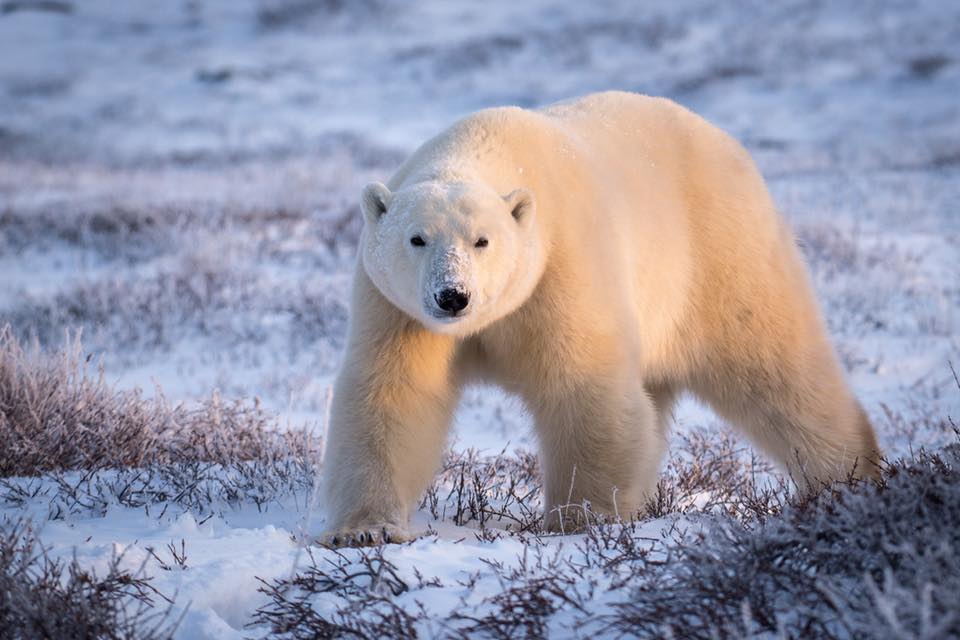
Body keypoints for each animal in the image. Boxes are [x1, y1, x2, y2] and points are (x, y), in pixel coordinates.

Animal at [319, 91, 882, 546]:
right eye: (417, 238)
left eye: (482, 240)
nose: (453, 296)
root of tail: (727, 144)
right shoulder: (395, 308)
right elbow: (393, 395)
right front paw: (365, 530)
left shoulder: (562, 264)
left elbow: (582, 386)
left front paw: (580, 519)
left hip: (719, 259)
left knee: (775, 367)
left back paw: (849, 476)